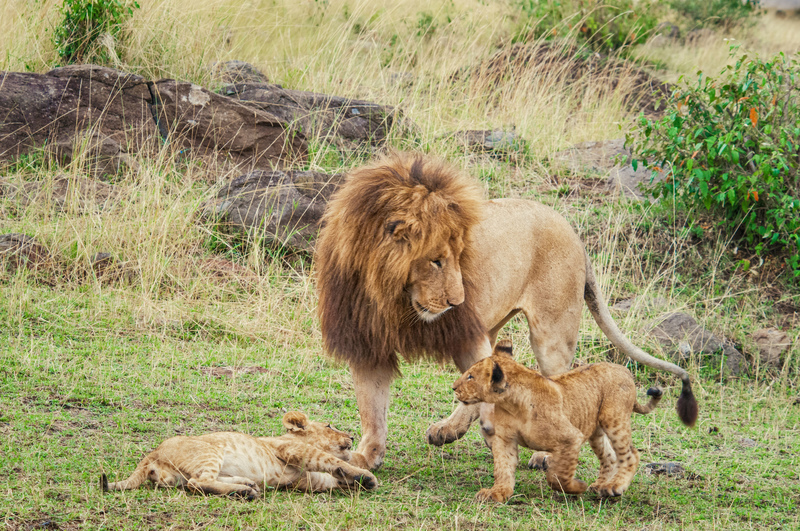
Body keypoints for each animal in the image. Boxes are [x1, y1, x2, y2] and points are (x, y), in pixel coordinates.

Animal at [316, 152, 696, 472]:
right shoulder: (367, 340)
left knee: (557, 390)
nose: (456, 302)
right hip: (492, 324)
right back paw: (447, 431)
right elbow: (372, 406)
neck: (392, 296)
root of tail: (571, 230)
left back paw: (543, 453)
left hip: (551, 332)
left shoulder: (463, 331)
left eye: (459, 256)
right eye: (436, 260)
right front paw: (367, 455)